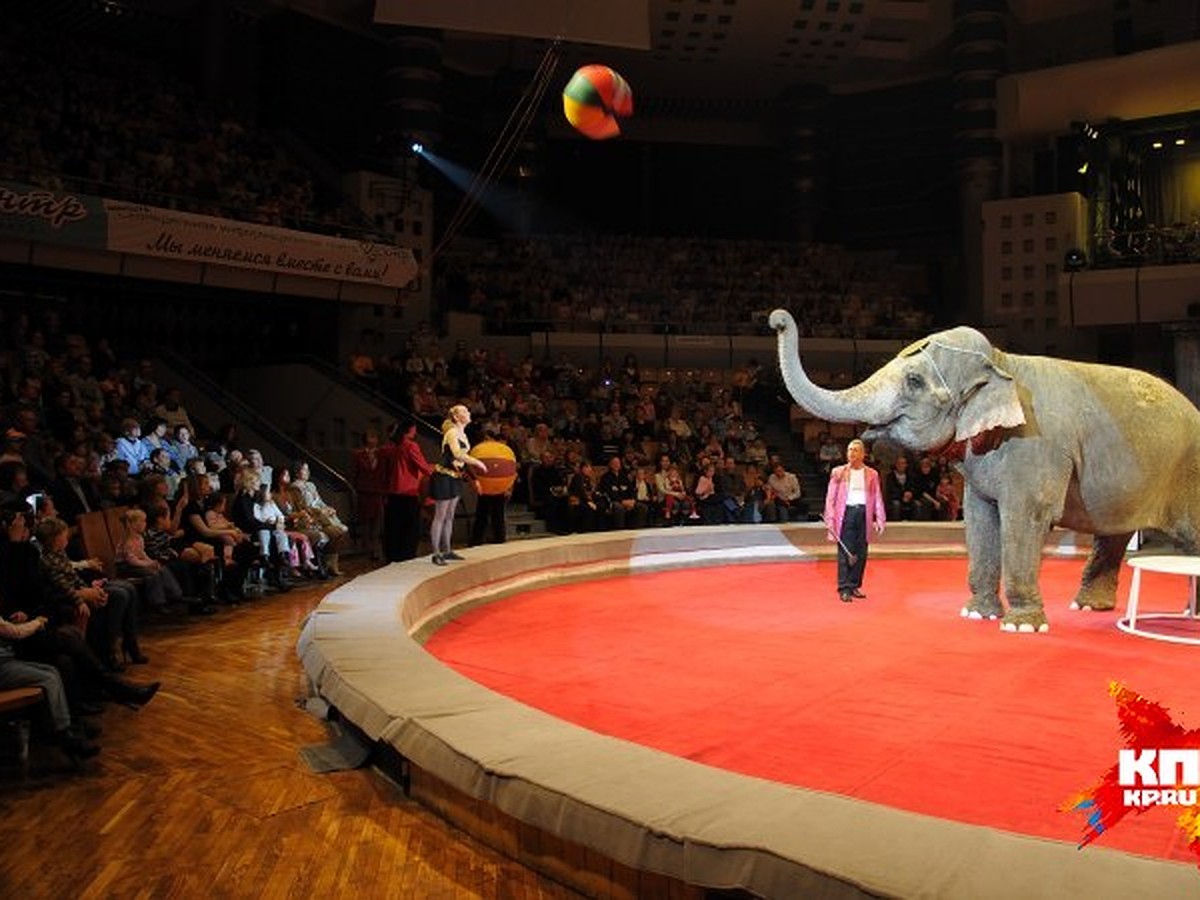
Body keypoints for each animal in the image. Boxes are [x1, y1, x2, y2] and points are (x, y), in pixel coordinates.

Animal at [768, 309, 1200, 633]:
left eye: (913, 380)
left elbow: (1026, 518)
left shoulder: (1036, 447)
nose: (776, 320)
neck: (1001, 360)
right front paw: (976, 614)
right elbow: (979, 519)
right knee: (1113, 535)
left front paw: (1021, 626)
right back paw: (1090, 608)